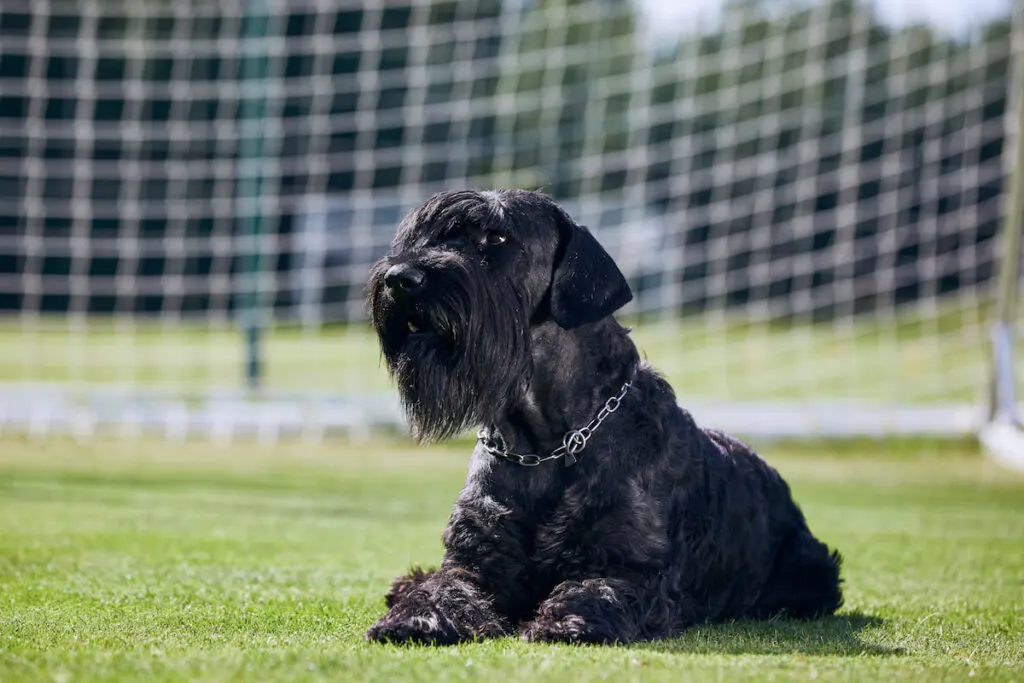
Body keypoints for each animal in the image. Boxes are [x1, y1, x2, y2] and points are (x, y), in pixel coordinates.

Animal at [364, 188, 843, 647]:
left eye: (496, 238)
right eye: (426, 236)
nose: (400, 279)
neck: (543, 443)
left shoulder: (628, 566)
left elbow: (595, 589)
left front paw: (567, 621)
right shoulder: (476, 560)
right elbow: (446, 585)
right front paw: (416, 614)